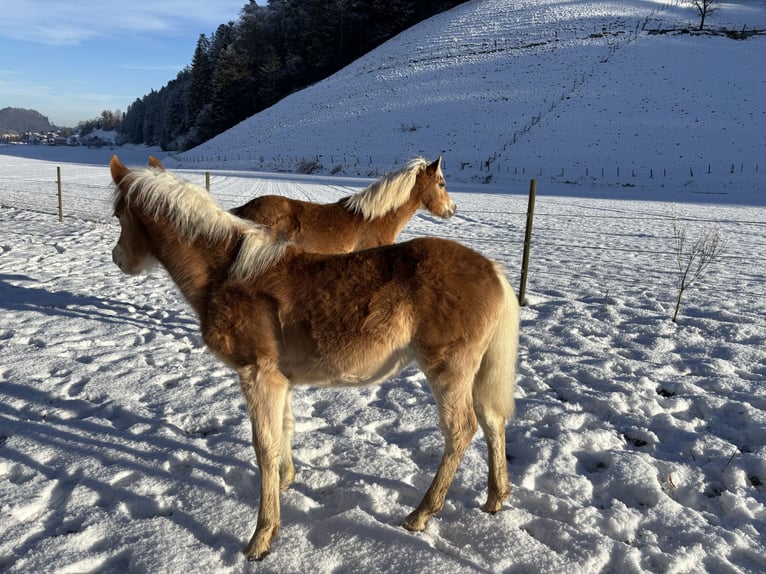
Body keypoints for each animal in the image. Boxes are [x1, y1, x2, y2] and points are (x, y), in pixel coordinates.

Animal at [109, 155, 520, 560]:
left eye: (118, 214)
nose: (118, 260)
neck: (226, 275)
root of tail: (493, 270)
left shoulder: (257, 375)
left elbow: (264, 447)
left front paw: (262, 536)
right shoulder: (279, 380)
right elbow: (284, 431)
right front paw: (286, 482)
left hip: (448, 372)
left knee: (461, 429)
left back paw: (421, 513)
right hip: (474, 372)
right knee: (491, 419)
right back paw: (496, 497)